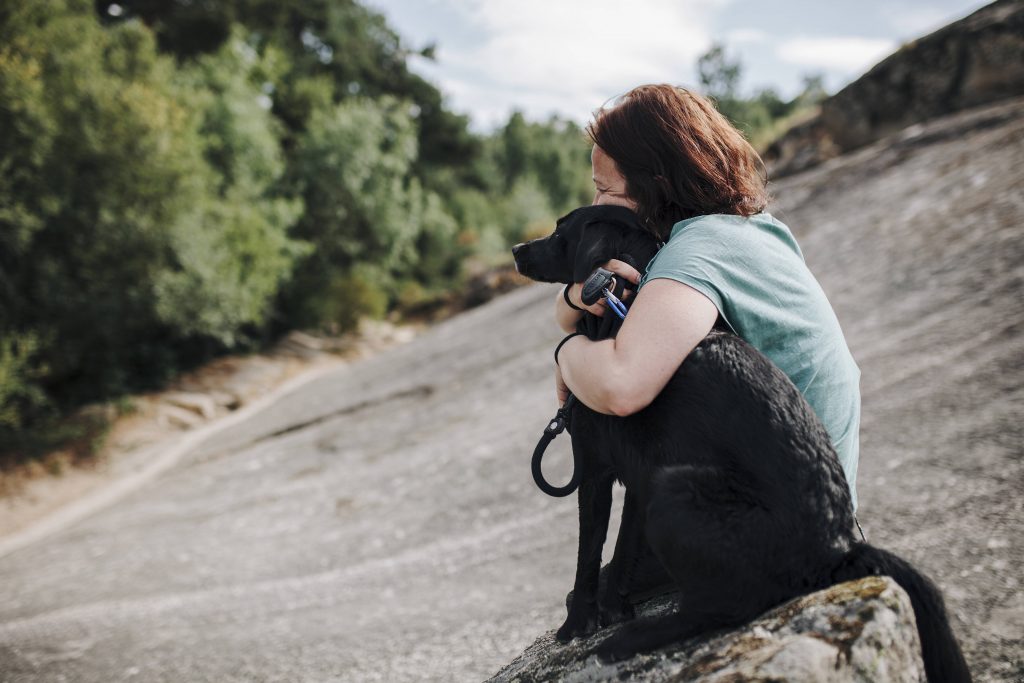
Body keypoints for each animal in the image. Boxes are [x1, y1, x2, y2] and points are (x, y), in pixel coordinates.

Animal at [516, 205, 970, 683]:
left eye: (560, 232)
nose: (515, 250)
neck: (623, 311)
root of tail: (839, 551)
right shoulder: (637, 477)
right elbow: (620, 553)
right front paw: (614, 609)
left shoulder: (596, 469)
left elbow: (587, 556)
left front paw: (578, 625)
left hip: (675, 489)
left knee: (721, 608)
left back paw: (633, 639)